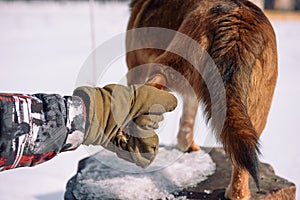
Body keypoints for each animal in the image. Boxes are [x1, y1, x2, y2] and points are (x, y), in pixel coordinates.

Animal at [124, 0, 276, 199]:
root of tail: (237, 23)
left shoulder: (135, 68)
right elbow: (187, 121)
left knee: (153, 84)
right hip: (255, 110)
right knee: (242, 163)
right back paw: (237, 194)